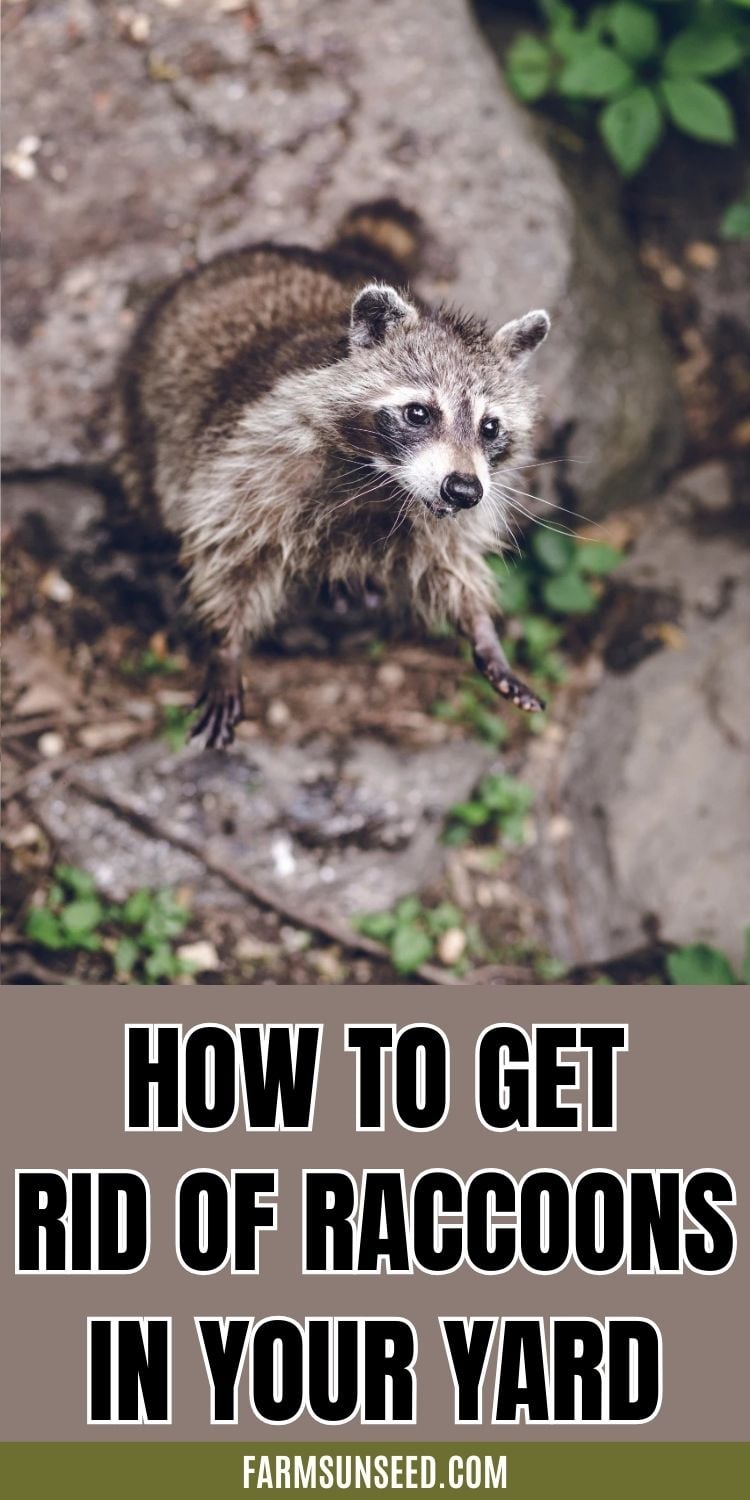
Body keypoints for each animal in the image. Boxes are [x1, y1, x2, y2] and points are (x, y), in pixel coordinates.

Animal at [116, 202, 551, 747]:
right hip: (144, 414)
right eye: (419, 413)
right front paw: (226, 642)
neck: (383, 483)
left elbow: (450, 565)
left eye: (490, 427)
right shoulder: (250, 463)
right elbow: (231, 553)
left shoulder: (446, 514)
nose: (463, 490)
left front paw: (481, 626)